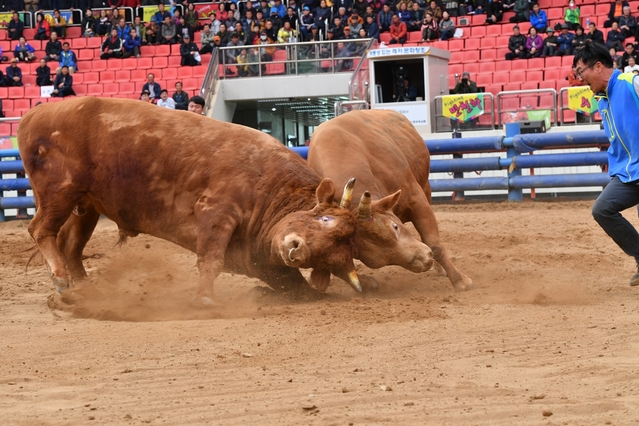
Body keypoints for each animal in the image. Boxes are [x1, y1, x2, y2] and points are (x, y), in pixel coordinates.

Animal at [16, 97, 364, 302]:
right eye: (324, 218)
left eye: (328, 256)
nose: (295, 249)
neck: (270, 184)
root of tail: (33, 114)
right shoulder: (216, 211)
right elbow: (211, 260)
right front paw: (205, 299)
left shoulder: (256, 257)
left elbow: (293, 284)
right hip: (59, 191)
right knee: (41, 230)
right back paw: (62, 279)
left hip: (85, 204)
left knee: (72, 246)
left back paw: (85, 289)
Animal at [308, 108, 478, 292]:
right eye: (375, 260)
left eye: (395, 227)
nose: (425, 261)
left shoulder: (416, 200)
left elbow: (435, 244)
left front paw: (460, 280)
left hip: (425, 187)